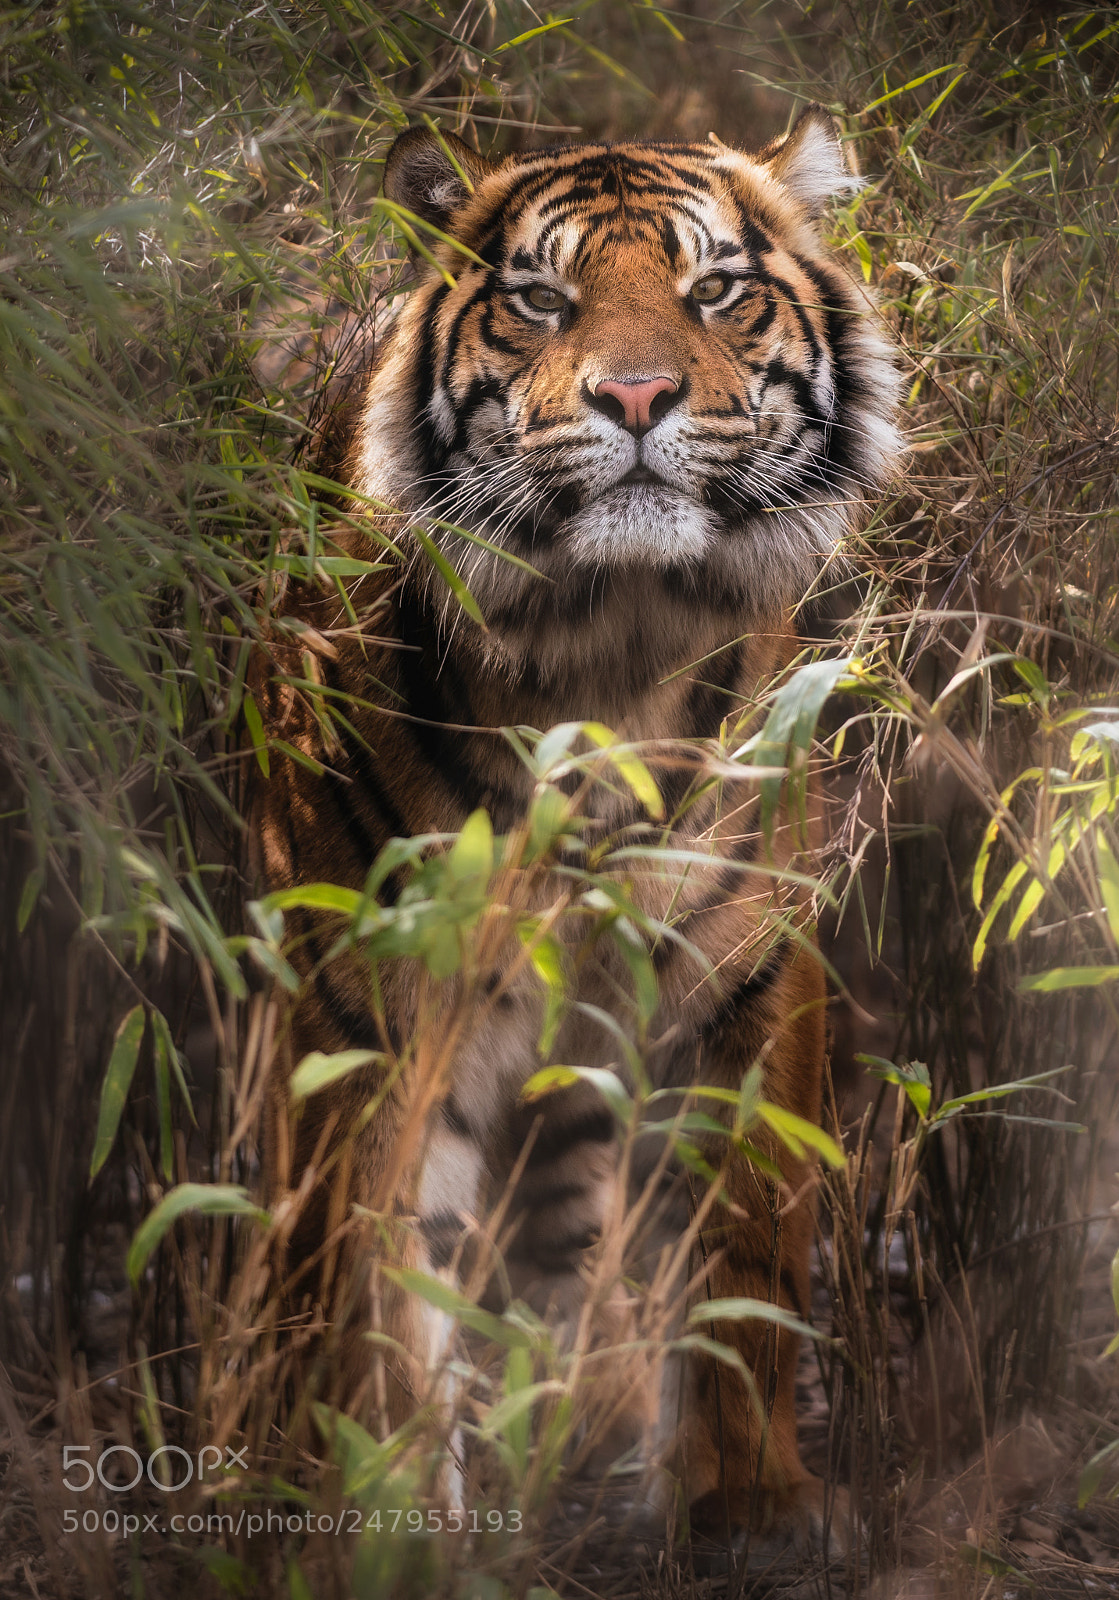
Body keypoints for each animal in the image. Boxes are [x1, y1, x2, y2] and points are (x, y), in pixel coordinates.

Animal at [253, 108, 901, 1564]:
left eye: (713, 289)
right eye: (541, 301)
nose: (638, 399)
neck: (610, 642)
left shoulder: (747, 974)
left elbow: (745, 1252)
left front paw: (749, 1499)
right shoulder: (375, 1009)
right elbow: (381, 1292)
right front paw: (391, 1527)